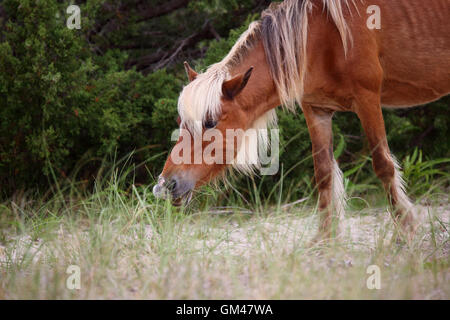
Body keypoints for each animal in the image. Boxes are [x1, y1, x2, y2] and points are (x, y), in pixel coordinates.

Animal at [154, 0, 450, 240]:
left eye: (210, 122)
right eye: (181, 121)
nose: (165, 185)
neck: (323, 33)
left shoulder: (367, 99)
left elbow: (383, 165)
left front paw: (404, 231)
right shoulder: (316, 110)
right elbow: (323, 174)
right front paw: (324, 239)